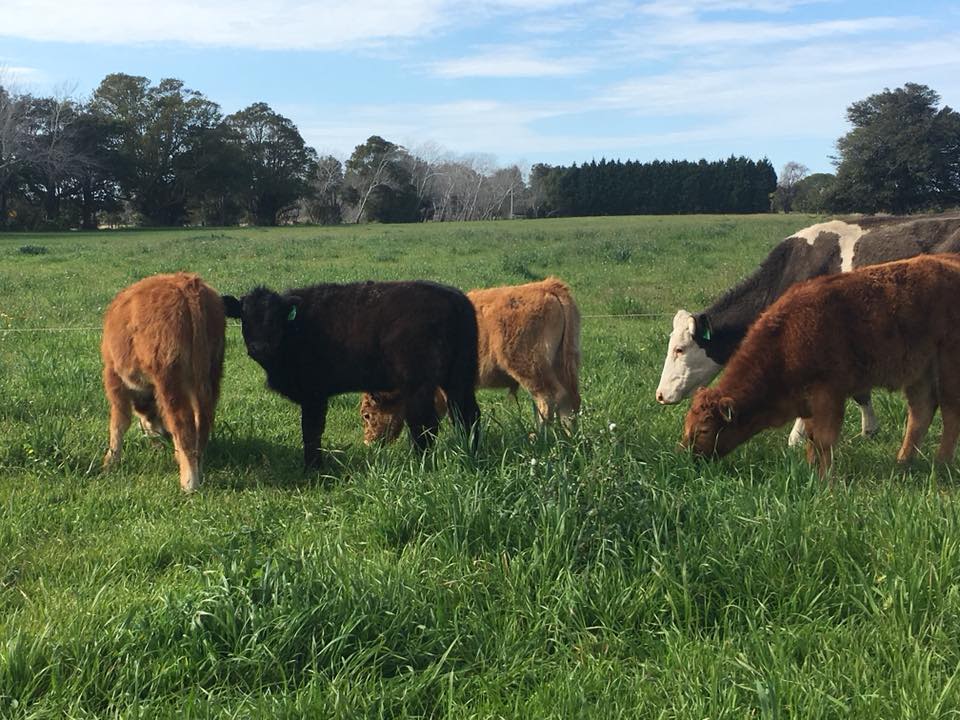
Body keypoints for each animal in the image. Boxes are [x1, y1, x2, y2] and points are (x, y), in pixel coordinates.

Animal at [101, 272, 227, 492]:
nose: (162, 436)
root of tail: (188, 285)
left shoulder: (113, 376)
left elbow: (119, 422)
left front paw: (110, 462)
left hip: (169, 379)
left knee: (182, 422)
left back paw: (189, 483)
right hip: (211, 374)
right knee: (203, 420)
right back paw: (197, 468)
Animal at [223, 282, 480, 466]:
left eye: (274, 318)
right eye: (245, 318)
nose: (259, 347)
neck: (295, 329)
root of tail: (455, 298)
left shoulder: (314, 394)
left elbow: (311, 431)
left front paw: (313, 468)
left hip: (419, 385)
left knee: (424, 426)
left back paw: (419, 464)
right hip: (459, 378)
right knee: (467, 416)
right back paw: (470, 452)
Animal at [360, 278, 580, 442]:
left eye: (367, 414)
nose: (369, 442)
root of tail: (547, 286)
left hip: (529, 367)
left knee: (549, 397)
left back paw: (537, 438)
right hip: (561, 365)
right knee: (568, 401)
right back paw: (570, 439)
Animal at [684, 256, 960, 476]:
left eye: (705, 429)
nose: (689, 458)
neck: (785, 339)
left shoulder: (828, 394)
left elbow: (824, 439)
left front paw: (825, 478)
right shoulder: (807, 402)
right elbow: (811, 437)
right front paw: (810, 467)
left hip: (947, 368)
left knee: (949, 413)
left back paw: (941, 464)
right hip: (919, 373)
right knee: (921, 413)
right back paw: (902, 462)